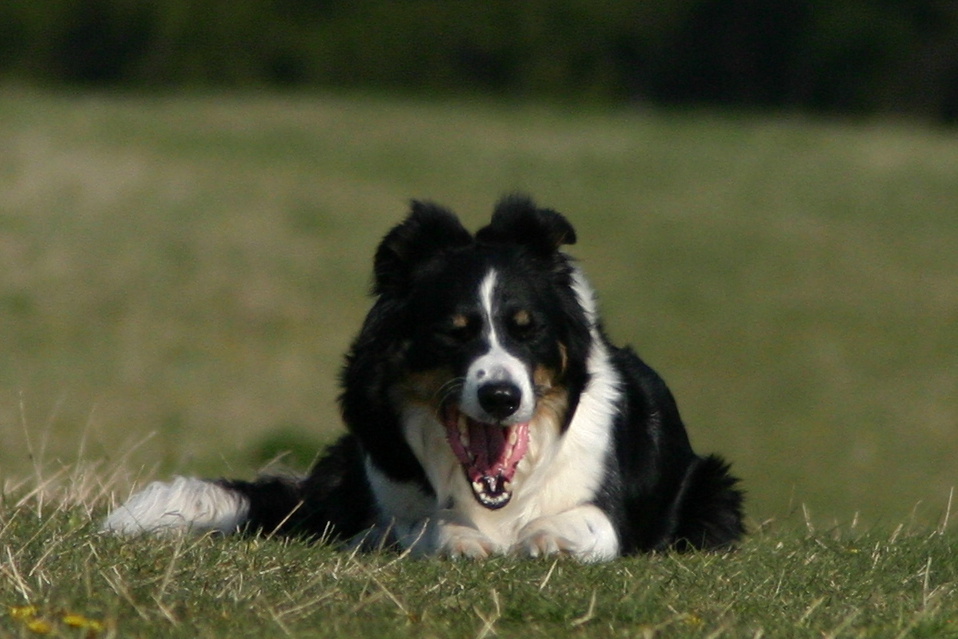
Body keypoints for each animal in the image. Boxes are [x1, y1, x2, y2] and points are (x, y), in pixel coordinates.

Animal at [107, 194, 752, 560]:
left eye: (527, 329)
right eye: (455, 331)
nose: (500, 396)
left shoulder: (610, 511)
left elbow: (585, 523)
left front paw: (544, 538)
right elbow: (420, 525)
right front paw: (457, 538)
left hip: (714, 488)